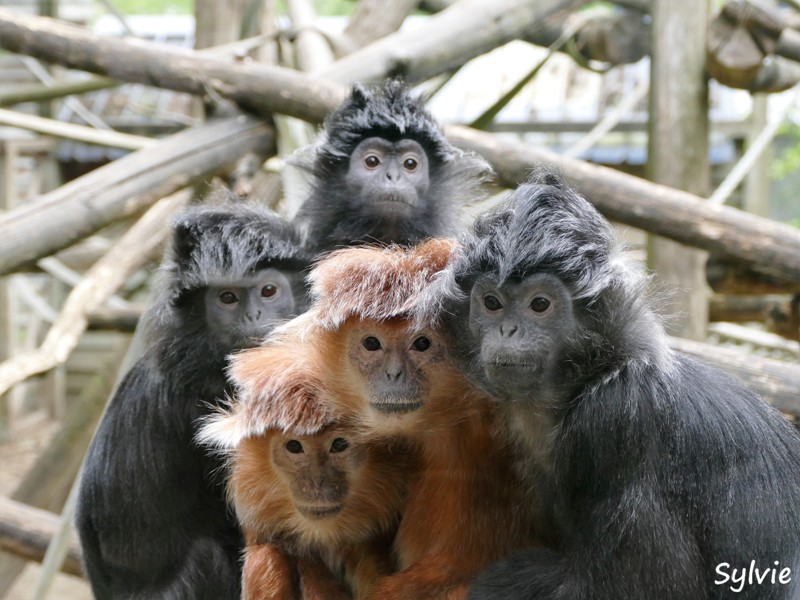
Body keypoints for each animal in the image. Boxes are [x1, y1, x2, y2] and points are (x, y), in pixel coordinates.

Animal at [424, 172, 800, 600]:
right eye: (491, 303)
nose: (508, 330)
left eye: (540, 304)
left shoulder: (617, 415)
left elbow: (623, 584)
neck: (590, 378)